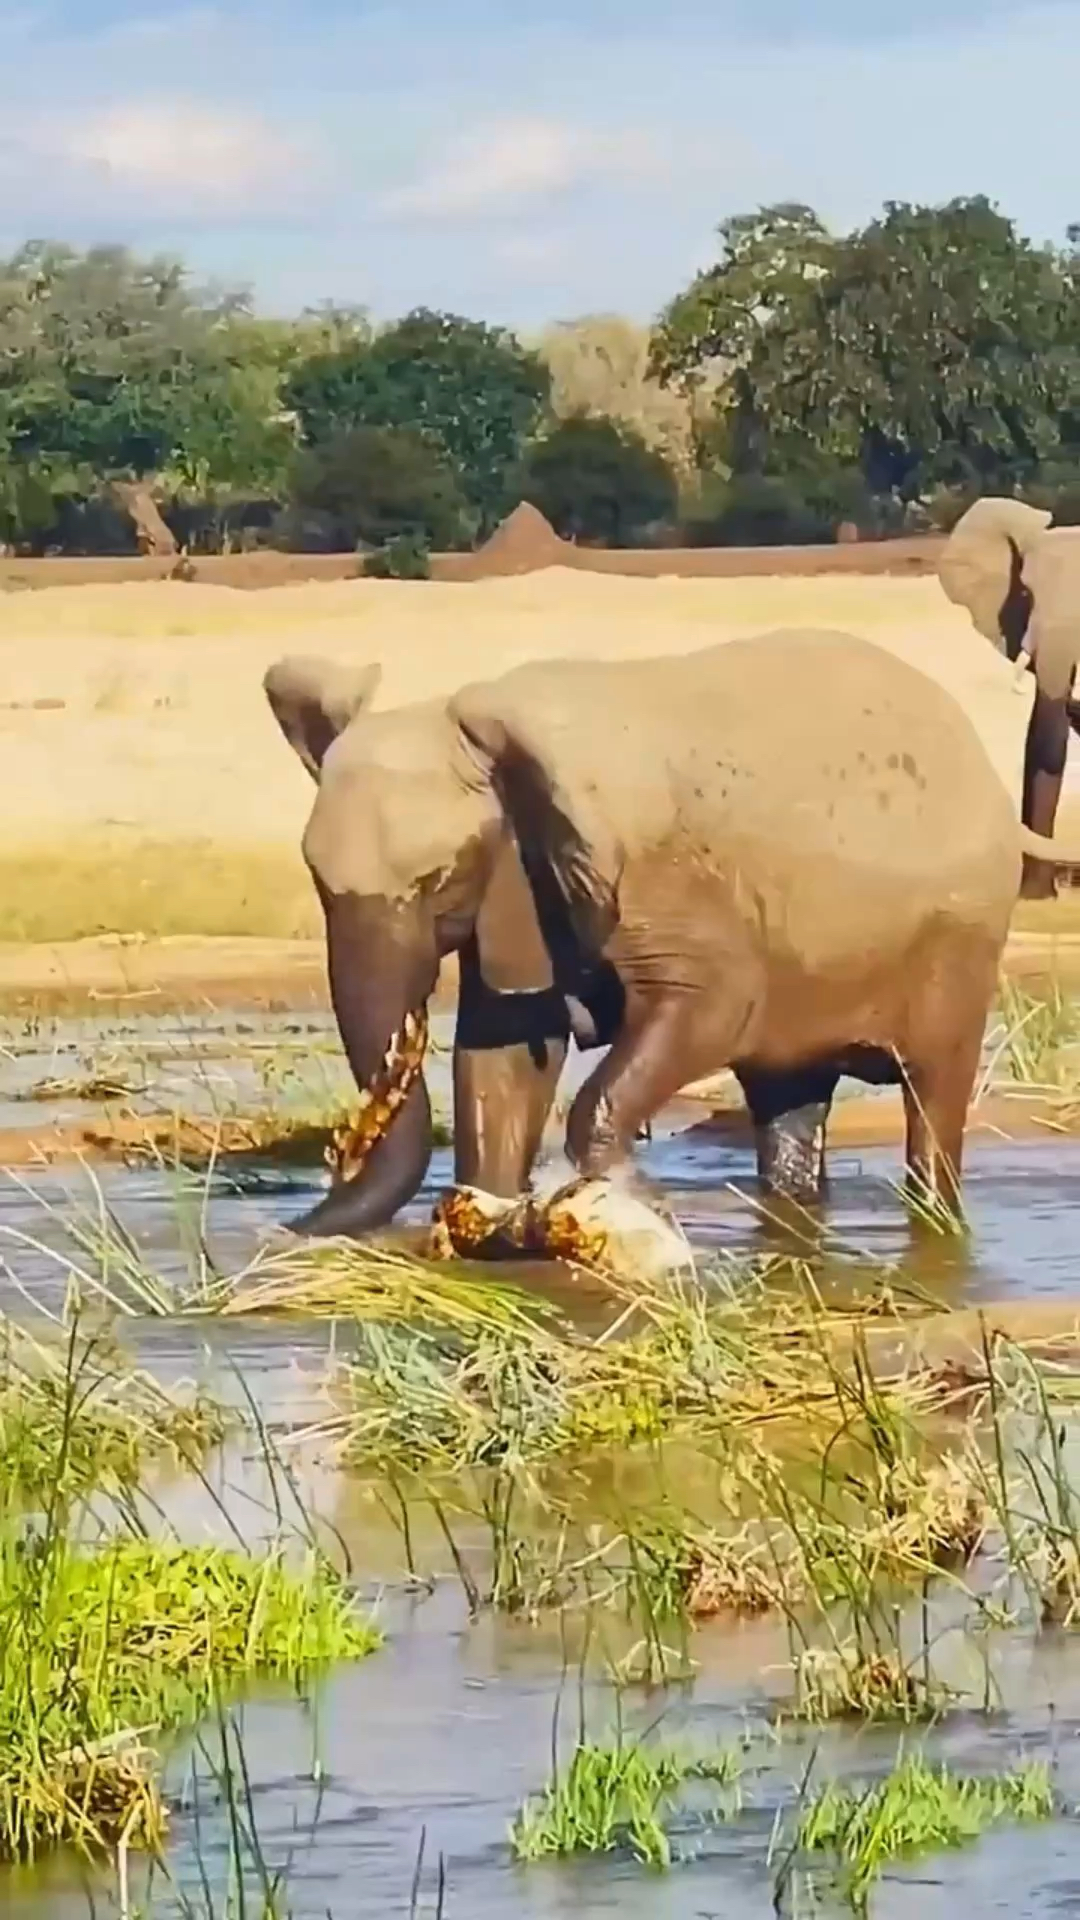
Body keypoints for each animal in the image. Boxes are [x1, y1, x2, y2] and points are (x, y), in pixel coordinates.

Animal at [264, 630, 1080, 1243]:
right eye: (315, 879)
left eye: (440, 877)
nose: (287, 1228)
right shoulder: (524, 880)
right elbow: (504, 1060)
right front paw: (489, 1215)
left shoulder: (662, 885)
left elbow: (712, 1007)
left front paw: (620, 1201)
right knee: (790, 1099)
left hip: (962, 932)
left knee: (932, 1094)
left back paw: (936, 1221)